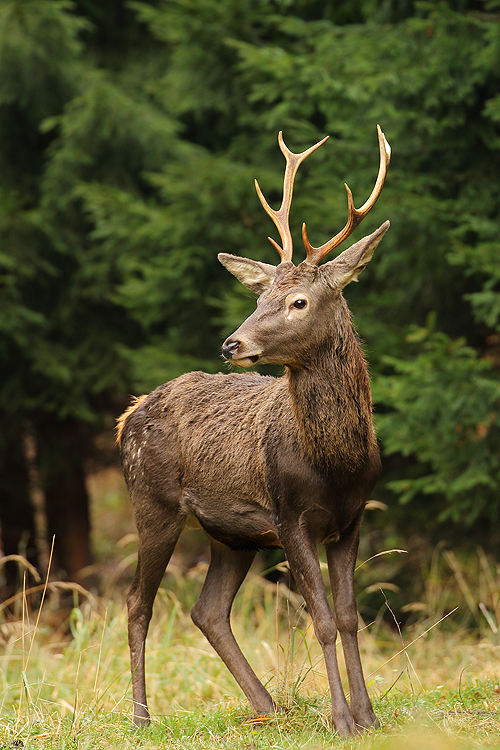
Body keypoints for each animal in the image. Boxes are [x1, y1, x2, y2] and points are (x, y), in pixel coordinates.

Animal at [116, 126, 390, 736]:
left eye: (297, 301)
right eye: (257, 297)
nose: (231, 343)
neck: (335, 463)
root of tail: (130, 415)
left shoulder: (353, 517)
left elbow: (349, 616)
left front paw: (367, 717)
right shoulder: (290, 517)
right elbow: (322, 620)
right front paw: (341, 719)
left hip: (232, 534)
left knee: (208, 610)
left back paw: (268, 705)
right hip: (153, 501)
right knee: (138, 601)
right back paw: (142, 716)